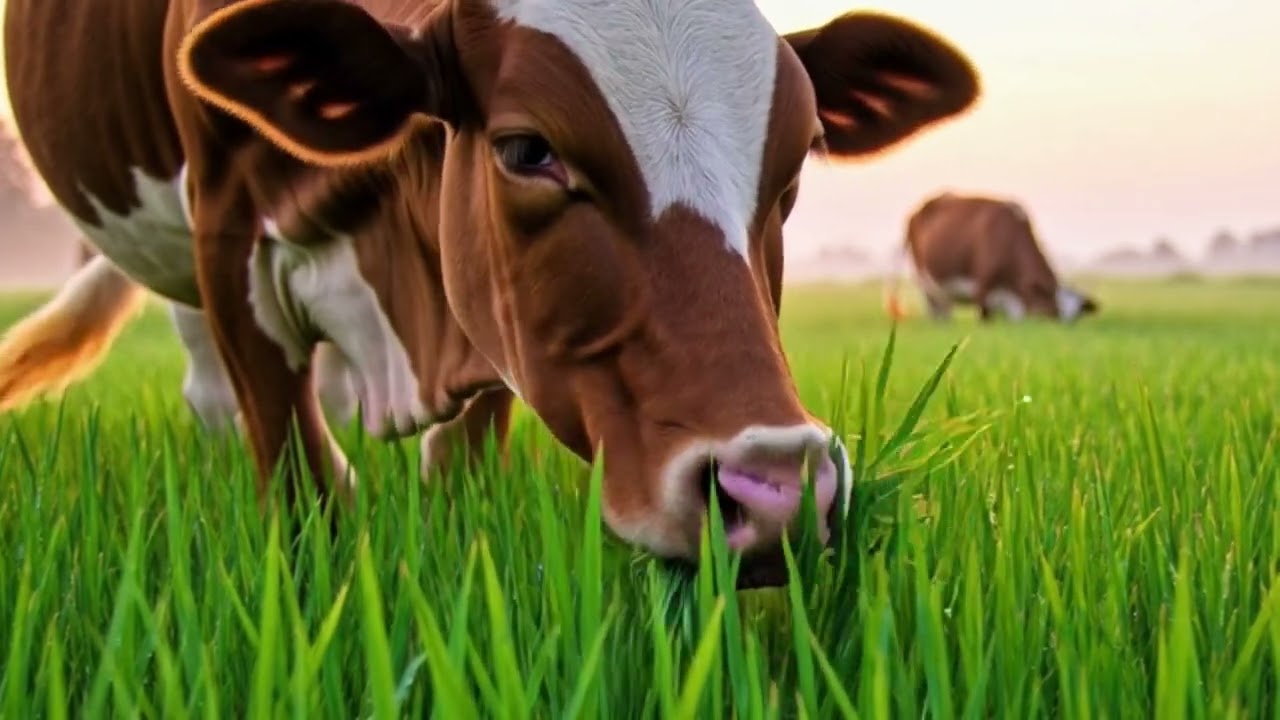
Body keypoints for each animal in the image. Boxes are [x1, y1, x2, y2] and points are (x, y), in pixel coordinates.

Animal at [1, 0, 981, 587]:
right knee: (209, 388)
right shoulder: (225, 230)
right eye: (524, 150)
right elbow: (303, 479)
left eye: (799, 160)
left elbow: (458, 477)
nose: (778, 489)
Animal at [886, 192, 1098, 322]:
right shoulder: (983, 288)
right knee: (936, 310)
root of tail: (915, 212)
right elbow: (985, 320)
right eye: (1055, 310)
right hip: (925, 281)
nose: (1062, 328)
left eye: (1076, 318)